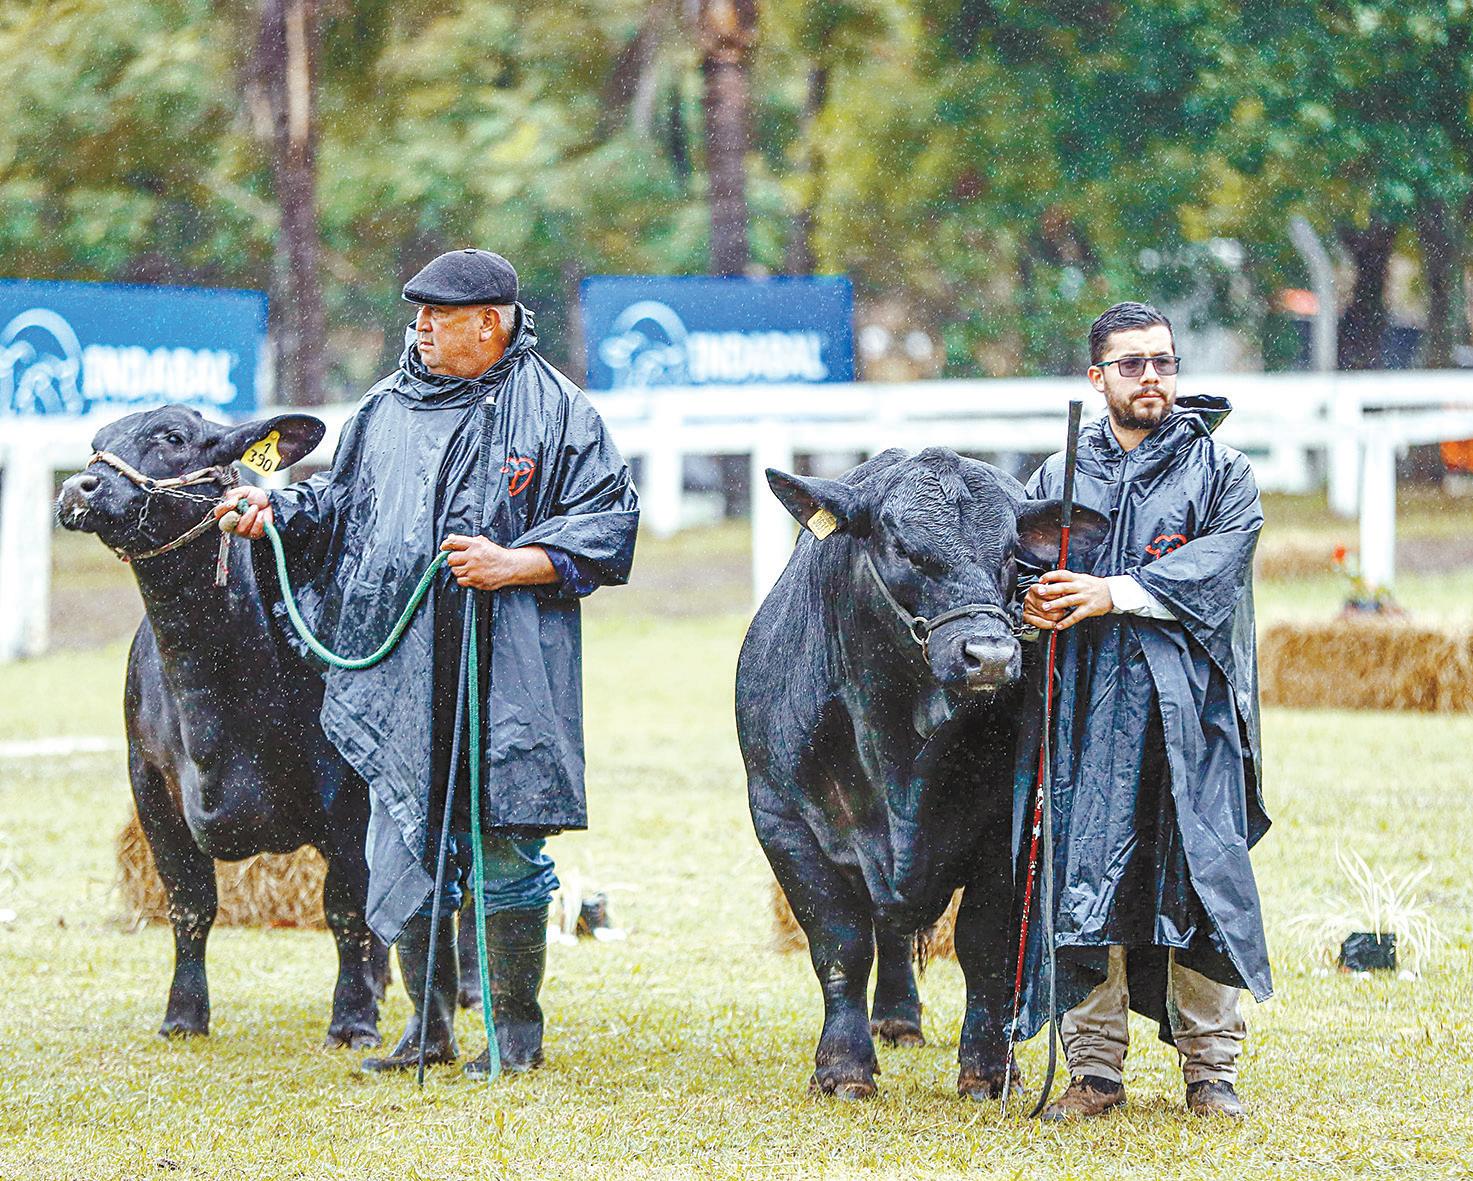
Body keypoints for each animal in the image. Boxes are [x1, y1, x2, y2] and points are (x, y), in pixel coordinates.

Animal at [57, 406, 383, 1047]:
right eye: (97, 441)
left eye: (173, 437)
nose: (82, 486)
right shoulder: (149, 785)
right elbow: (190, 903)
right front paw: (183, 1015)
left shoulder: (351, 796)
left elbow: (347, 908)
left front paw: (353, 1019)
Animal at [736, 447, 1106, 1101]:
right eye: (905, 549)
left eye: (1011, 554)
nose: (990, 657)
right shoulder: (782, 820)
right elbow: (840, 943)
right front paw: (843, 1067)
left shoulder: (1009, 830)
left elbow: (985, 946)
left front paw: (988, 1069)